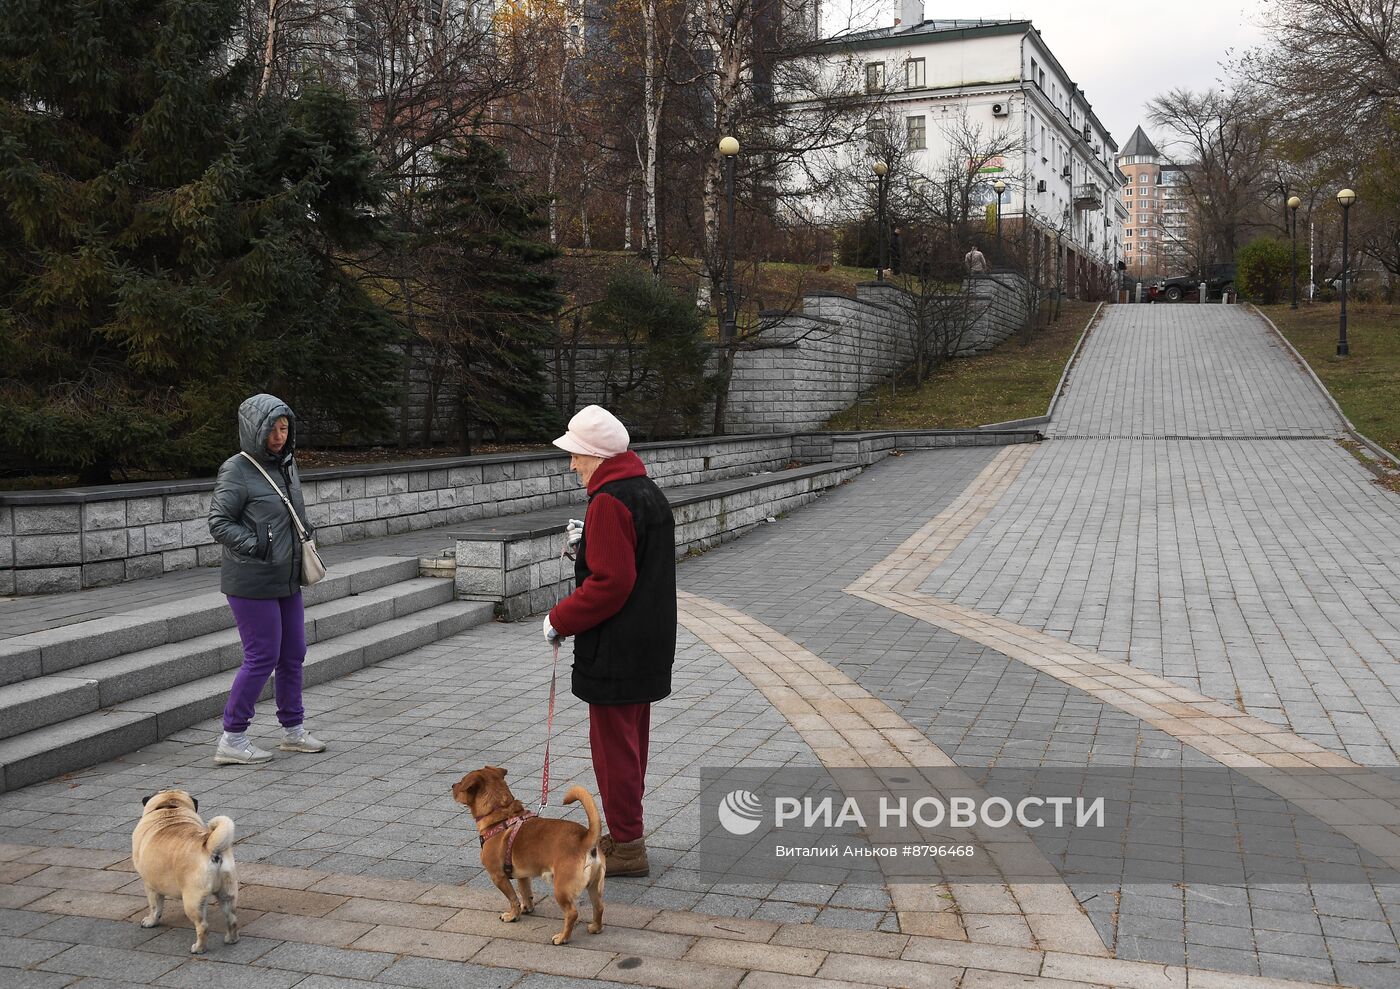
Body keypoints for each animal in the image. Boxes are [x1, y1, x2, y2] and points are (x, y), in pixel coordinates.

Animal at [130, 784, 238, 946]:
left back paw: (198, 947)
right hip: (227, 893)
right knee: (231, 919)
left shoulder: (150, 886)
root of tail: (210, 847)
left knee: (203, 926)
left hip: (193, 900)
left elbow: (155, 907)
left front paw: (151, 921)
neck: (170, 808)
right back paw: (231, 939)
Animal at [448, 762, 602, 941]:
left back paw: (562, 938)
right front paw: (527, 907)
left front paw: (513, 915)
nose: (452, 785)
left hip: (561, 889)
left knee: (572, 913)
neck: (501, 814)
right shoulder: (523, 876)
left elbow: (513, 898)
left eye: (461, 782)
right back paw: (595, 927)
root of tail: (584, 838)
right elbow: (525, 892)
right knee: (599, 907)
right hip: (594, 887)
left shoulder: (498, 876)